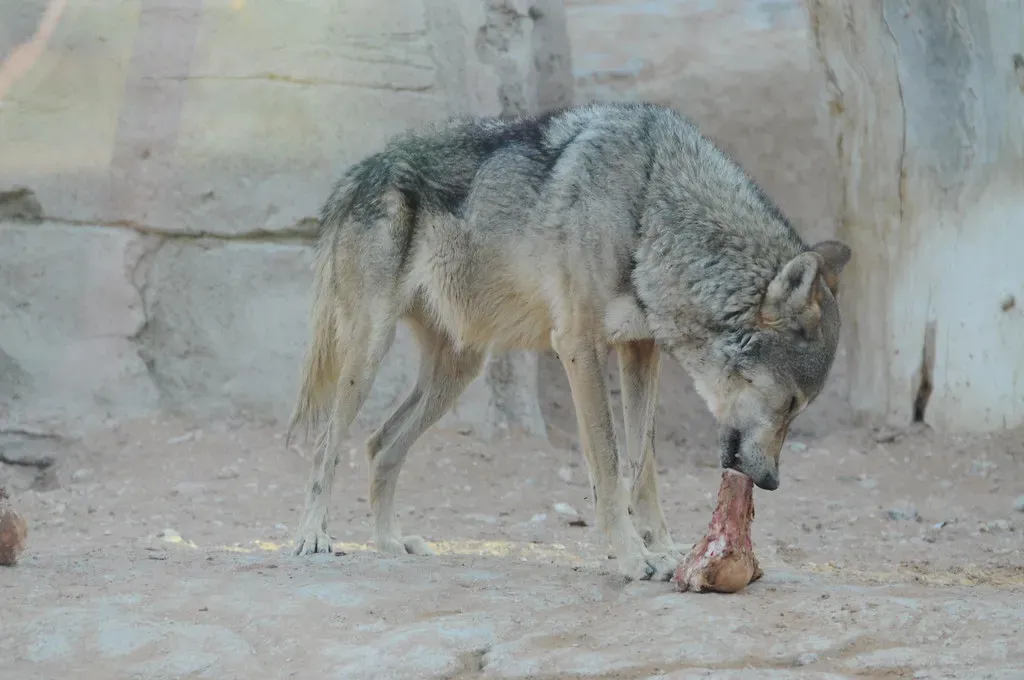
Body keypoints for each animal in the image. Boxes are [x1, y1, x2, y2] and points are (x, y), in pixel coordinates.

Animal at [285, 101, 851, 581]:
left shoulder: (640, 351)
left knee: (380, 445)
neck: (649, 206)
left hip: (457, 373)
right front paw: (633, 557)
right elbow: (609, 463)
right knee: (324, 444)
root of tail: (358, 171)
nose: (772, 482)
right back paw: (314, 536)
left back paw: (389, 544)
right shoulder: (578, 345)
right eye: (792, 403)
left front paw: (664, 550)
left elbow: (643, 465)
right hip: (368, 353)